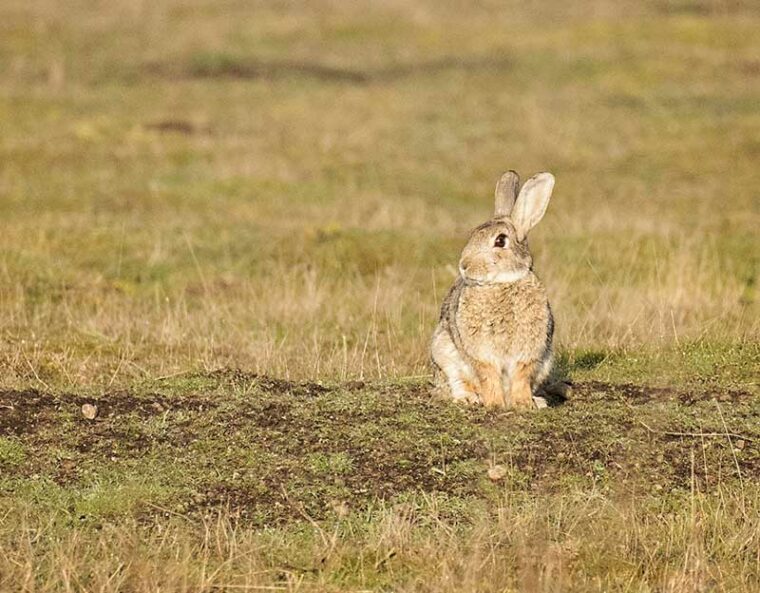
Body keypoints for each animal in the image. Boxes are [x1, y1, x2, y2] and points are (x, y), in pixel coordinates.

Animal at [434, 169, 560, 404]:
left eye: (500, 241)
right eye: (474, 234)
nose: (464, 265)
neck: (502, 283)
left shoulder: (530, 352)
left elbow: (521, 375)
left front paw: (524, 403)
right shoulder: (481, 352)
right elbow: (488, 374)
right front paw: (494, 403)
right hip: (444, 352)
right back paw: (469, 398)